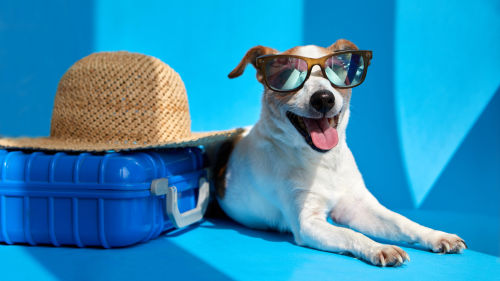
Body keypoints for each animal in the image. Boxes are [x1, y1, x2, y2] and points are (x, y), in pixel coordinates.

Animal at [213, 38, 466, 264]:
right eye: (286, 77)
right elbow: (350, 233)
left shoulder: (357, 206)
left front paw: (435, 235)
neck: (322, 161)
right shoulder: (307, 222)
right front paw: (379, 248)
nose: (323, 98)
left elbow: (401, 222)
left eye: (336, 71)